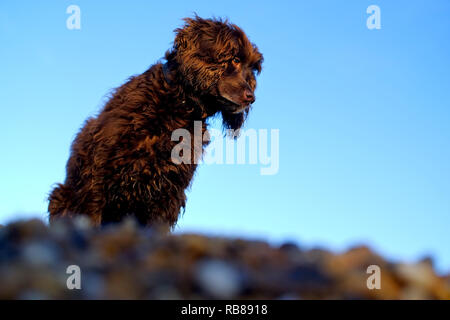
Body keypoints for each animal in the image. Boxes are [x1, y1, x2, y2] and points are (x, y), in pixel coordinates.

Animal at [48, 16, 264, 228]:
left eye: (251, 71)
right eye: (235, 60)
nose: (251, 98)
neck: (180, 108)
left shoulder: (169, 192)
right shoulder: (97, 175)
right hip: (60, 195)